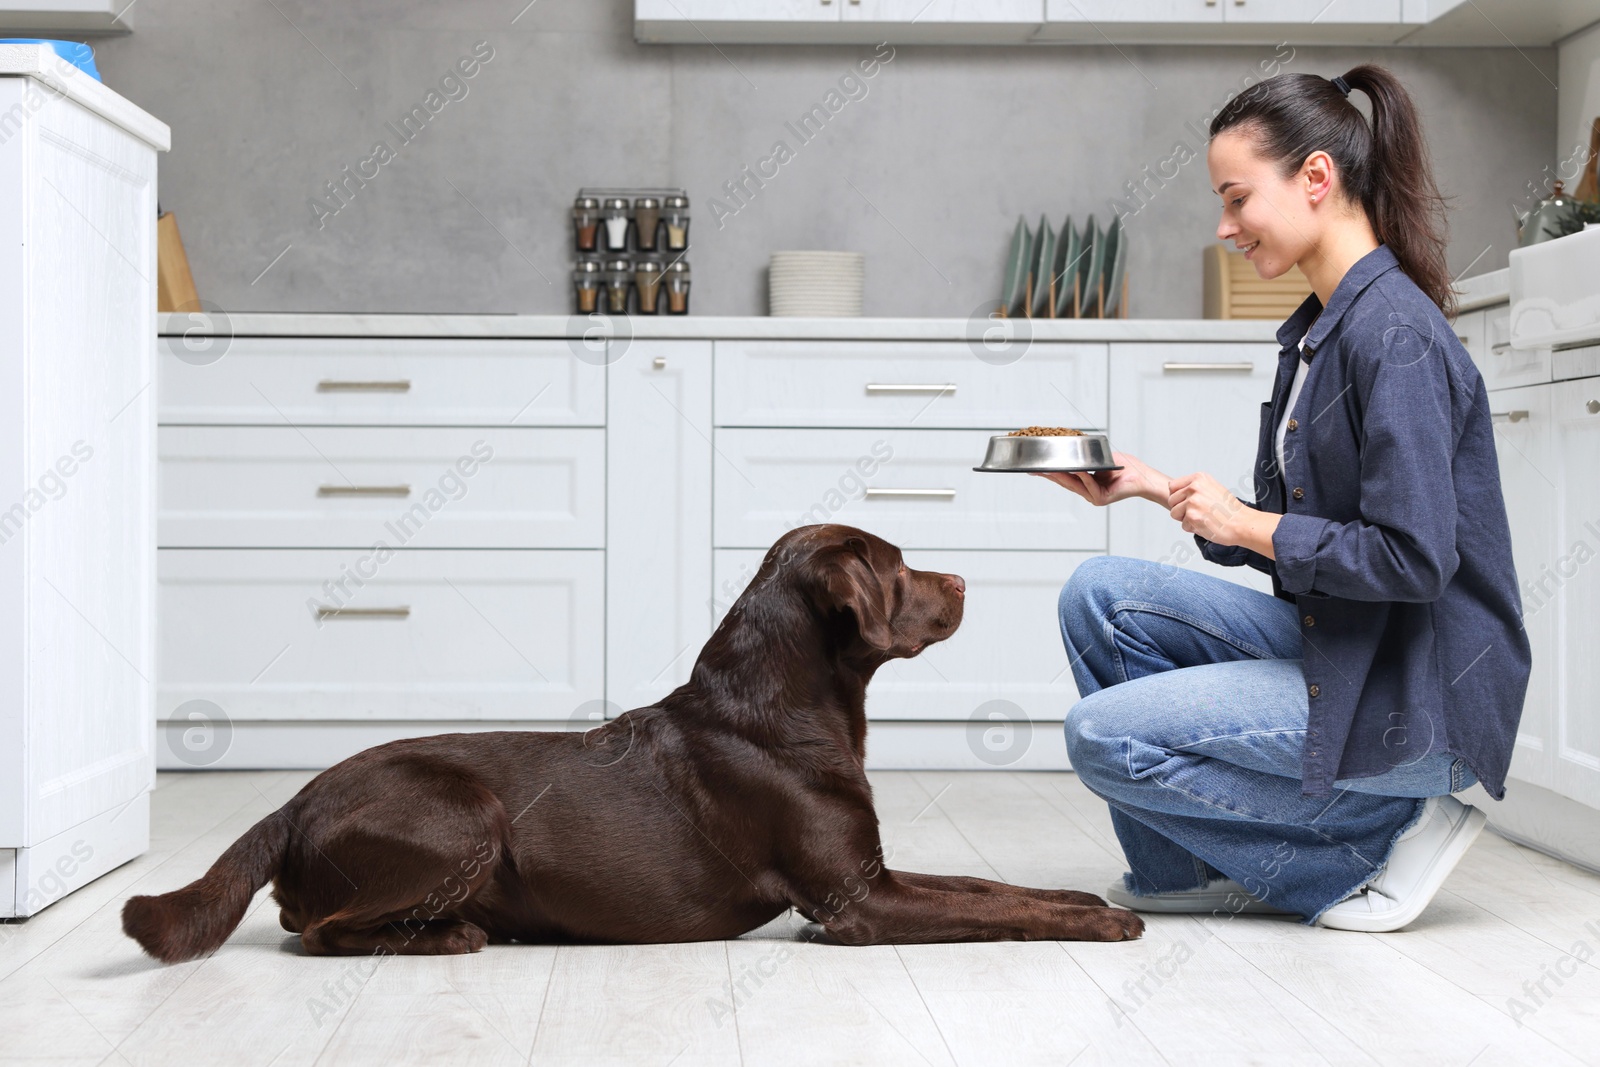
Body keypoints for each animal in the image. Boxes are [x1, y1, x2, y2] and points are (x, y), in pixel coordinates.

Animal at [128, 521, 1152, 966]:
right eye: (900, 569)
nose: (968, 580)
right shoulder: (855, 903)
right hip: (464, 813)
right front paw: (1100, 922)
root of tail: (293, 799)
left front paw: (1076, 897)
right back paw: (454, 934)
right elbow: (993, 908)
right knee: (317, 930)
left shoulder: (874, 872)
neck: (782, 709)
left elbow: (988, 885)